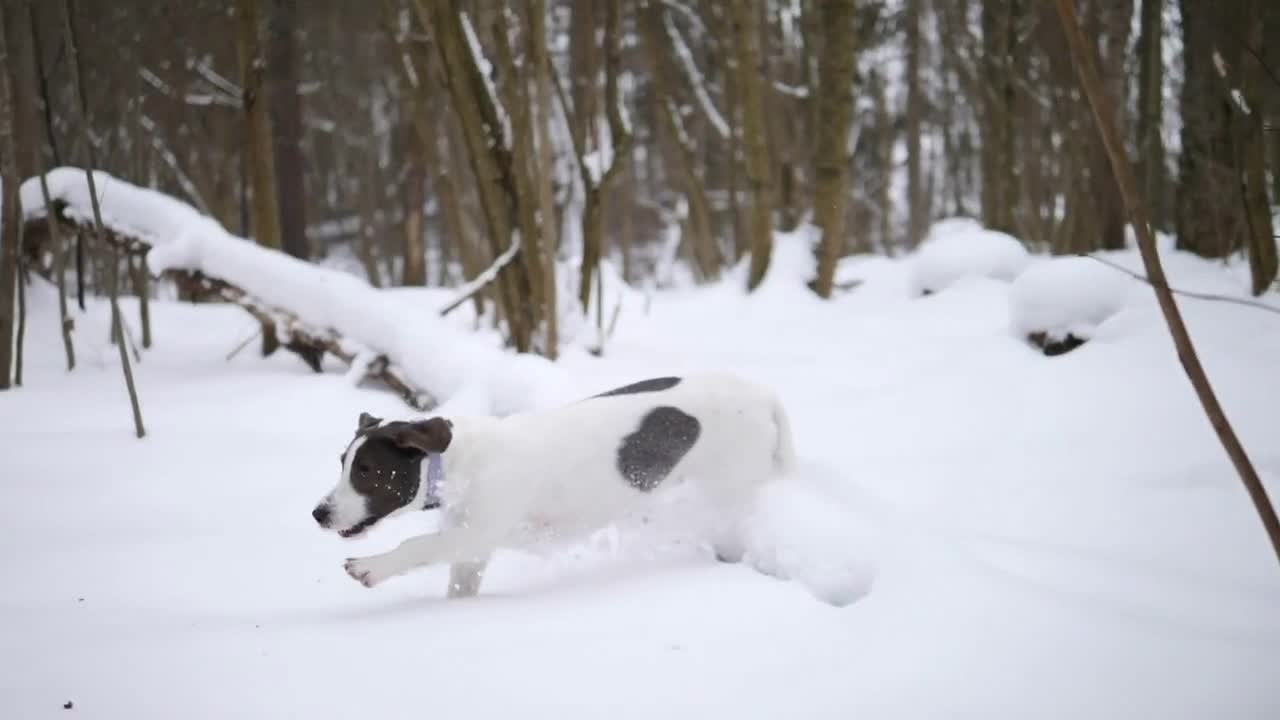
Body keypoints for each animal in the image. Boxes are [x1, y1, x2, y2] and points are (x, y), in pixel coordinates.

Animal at [312, 368, 788, 594]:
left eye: (367, 470)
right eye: (342, 462)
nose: (318, 514)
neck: (459, 464)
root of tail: (764, 395)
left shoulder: (476, 535)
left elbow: (416, 545)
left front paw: (371, 567)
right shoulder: (470, 553)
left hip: (729, 496)